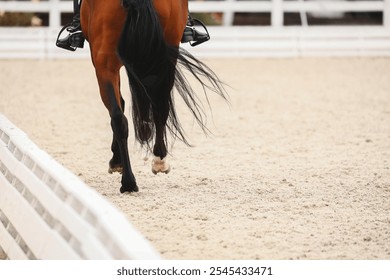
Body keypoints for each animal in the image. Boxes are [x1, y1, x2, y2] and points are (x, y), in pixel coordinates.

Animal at [79, 0, 225, 192]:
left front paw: (117, 161)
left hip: (107, 64)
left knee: (121, 115)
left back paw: (134, 176)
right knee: (157, 108)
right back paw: (148, 168)